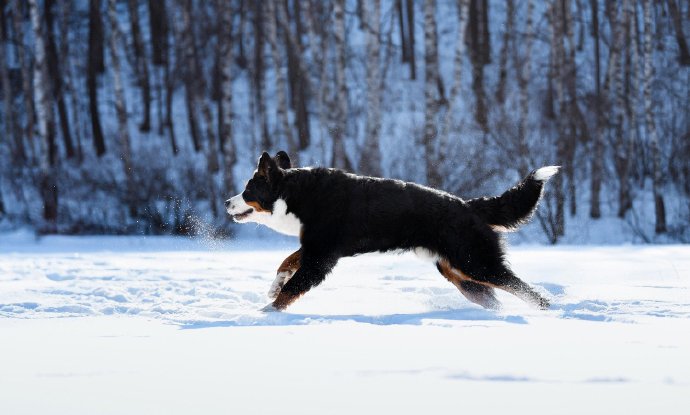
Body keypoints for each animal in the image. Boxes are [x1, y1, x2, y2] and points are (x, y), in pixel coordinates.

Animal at [226, 152, 560, 312]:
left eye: (247, 191)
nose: (227, 202)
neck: (297, 195)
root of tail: (469, 205)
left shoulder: (320, 257)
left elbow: (292, 288)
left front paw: (265, 312)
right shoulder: (315, 248)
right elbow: (285, 263)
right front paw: (273, 287)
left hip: (475, 262)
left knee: (528, 291)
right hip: (460, 274)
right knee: (496, 298)